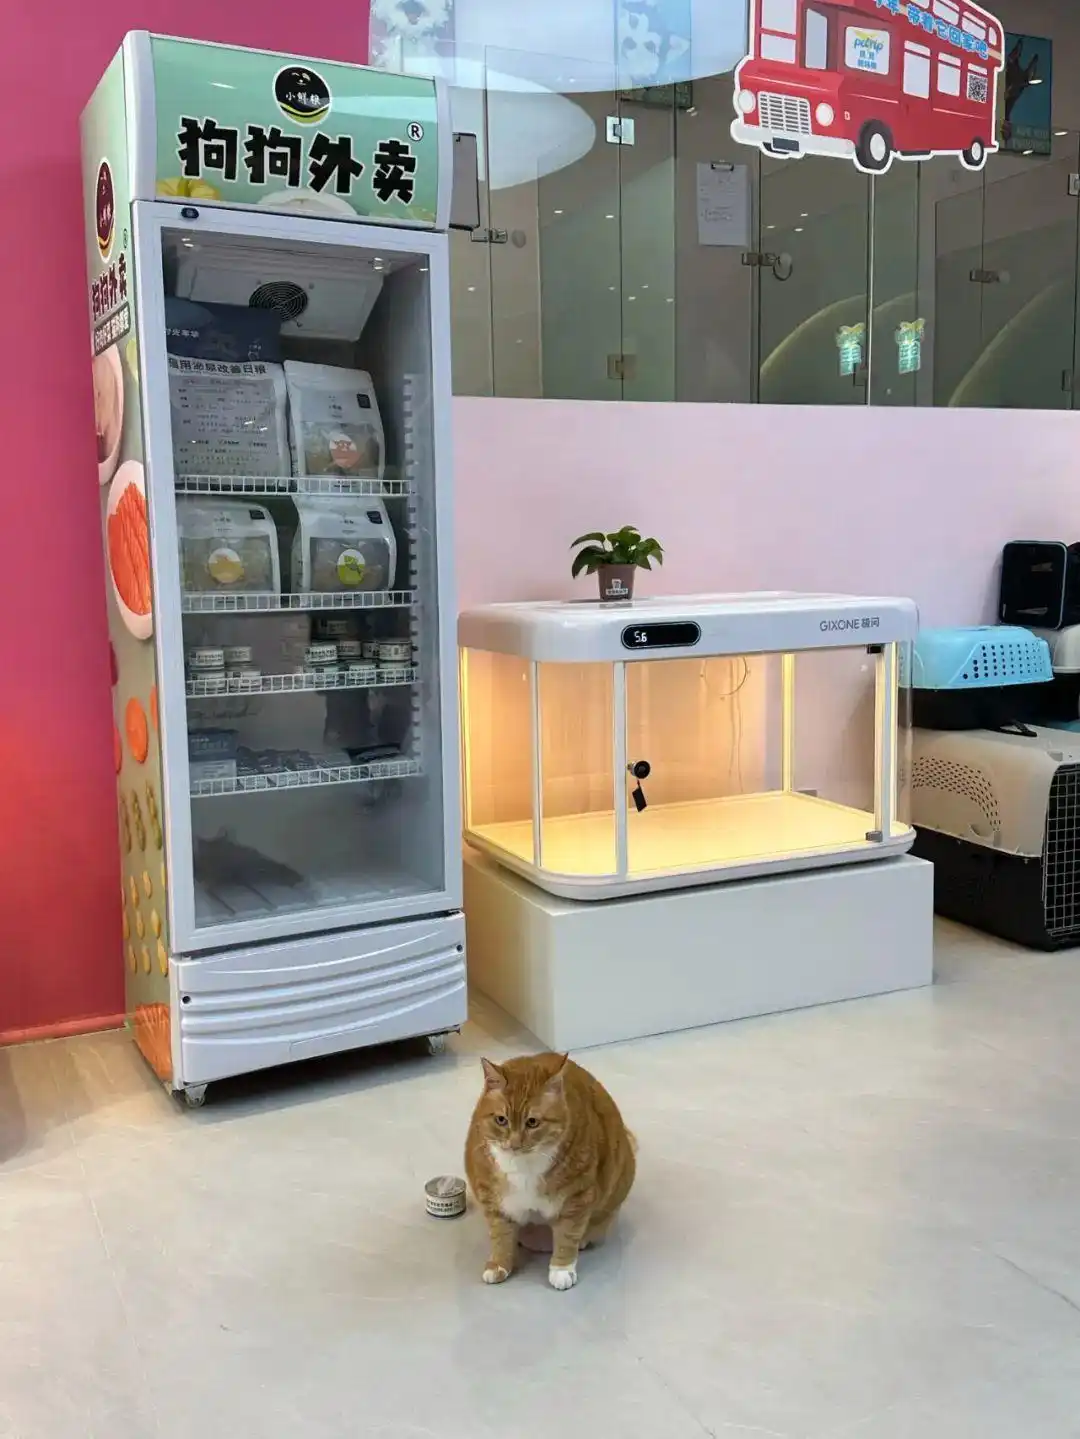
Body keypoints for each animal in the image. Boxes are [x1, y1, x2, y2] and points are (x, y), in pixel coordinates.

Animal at [464, 1052, 636, 1291]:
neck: (524, 1165)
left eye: (532, 1122)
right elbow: (500, 1235)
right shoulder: (492, 1197)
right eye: (501, 1120)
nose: (514, 1144)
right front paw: (498, 1265)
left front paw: (561, 1270)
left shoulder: (577, 1198)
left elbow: (567, 1235)